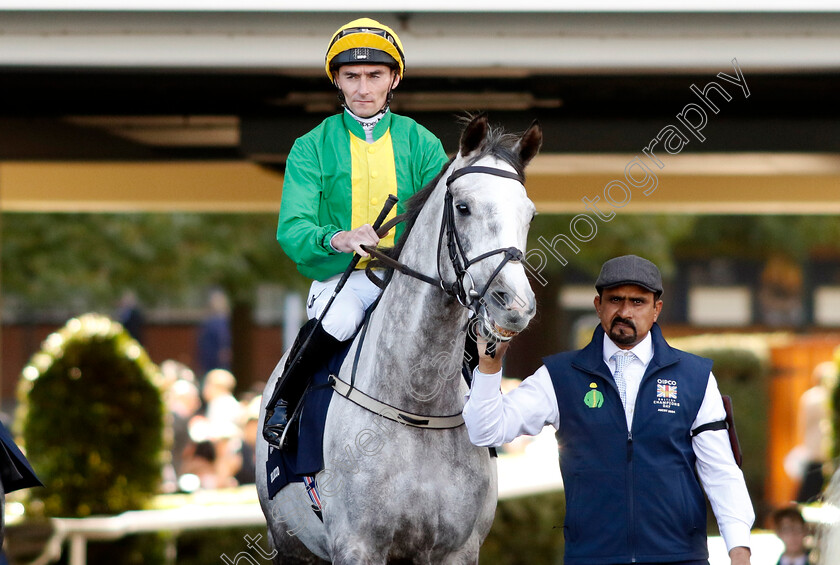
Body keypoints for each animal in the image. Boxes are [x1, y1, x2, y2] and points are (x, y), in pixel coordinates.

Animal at [260, 114, 540, 564]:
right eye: (463, 207)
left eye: (528, 214)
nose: (513, 304)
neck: (416, 406)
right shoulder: (357, 546)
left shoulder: (457, 550)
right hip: (289, 544)